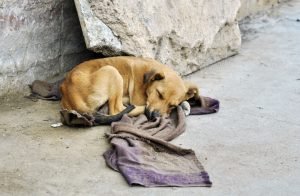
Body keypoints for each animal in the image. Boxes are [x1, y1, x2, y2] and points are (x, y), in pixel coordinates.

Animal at [59, 55, 200, 119]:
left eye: (172, 105)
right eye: (159, 94)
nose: (155, 117)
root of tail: (68, 90)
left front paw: (184, 105)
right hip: (112, 71)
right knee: (116, 110)